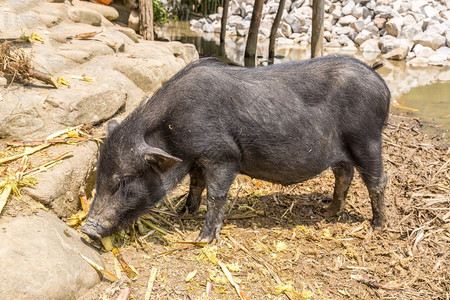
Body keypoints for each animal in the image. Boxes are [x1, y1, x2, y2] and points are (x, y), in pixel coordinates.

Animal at [81, 55, 390, 243]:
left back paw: (377, 226)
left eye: (124, 180)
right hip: (345, 150)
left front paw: (202, 239)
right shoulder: (196, 159)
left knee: (378, 180)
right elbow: (196, 184)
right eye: (100, 175)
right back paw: (328, 213)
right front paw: (184, 212)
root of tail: (382, 85)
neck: (173, 131)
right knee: (344, 175)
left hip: (367, 138)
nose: (87, 229)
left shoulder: (223, 156)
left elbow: (216, 195)